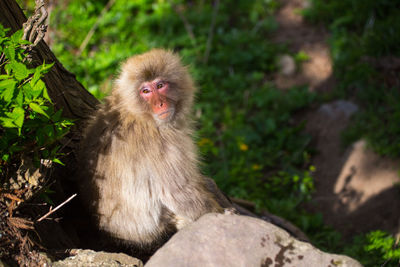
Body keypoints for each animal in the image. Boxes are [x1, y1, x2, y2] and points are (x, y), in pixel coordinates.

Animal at [78, 48, 233, 251]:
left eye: (160, 85)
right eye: (145, 91)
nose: (160, 103)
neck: (138, 113)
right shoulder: (163, 143)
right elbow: (179, 192)